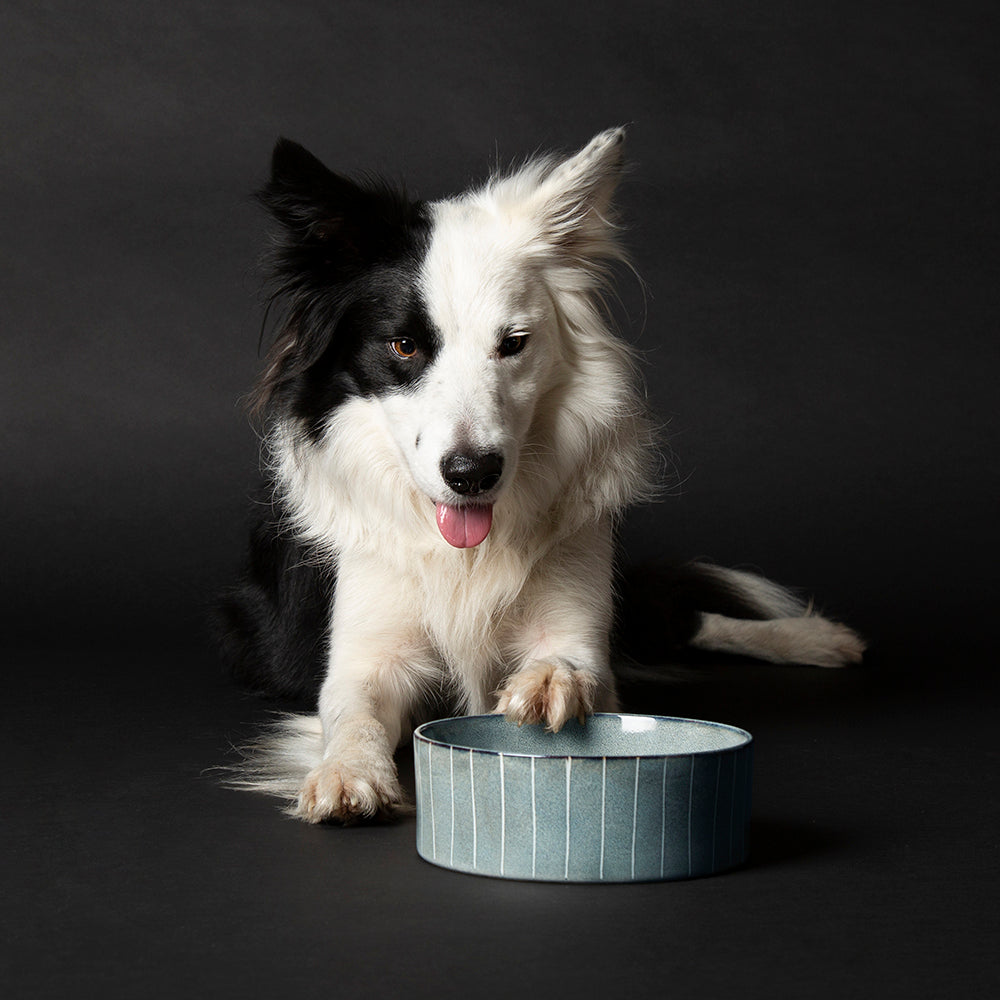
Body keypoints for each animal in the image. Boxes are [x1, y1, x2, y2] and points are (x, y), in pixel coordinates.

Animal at [217, 129, 860, 824]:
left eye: (513, 343)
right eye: (404, 347)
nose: (472, 474)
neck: (467, 552)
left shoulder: (583, 622)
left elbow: (576, 661)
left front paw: (551, 678)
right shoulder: (366, 650)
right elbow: (352, 711)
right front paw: (347, 772)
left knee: (684, 623)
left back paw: (815, 637)